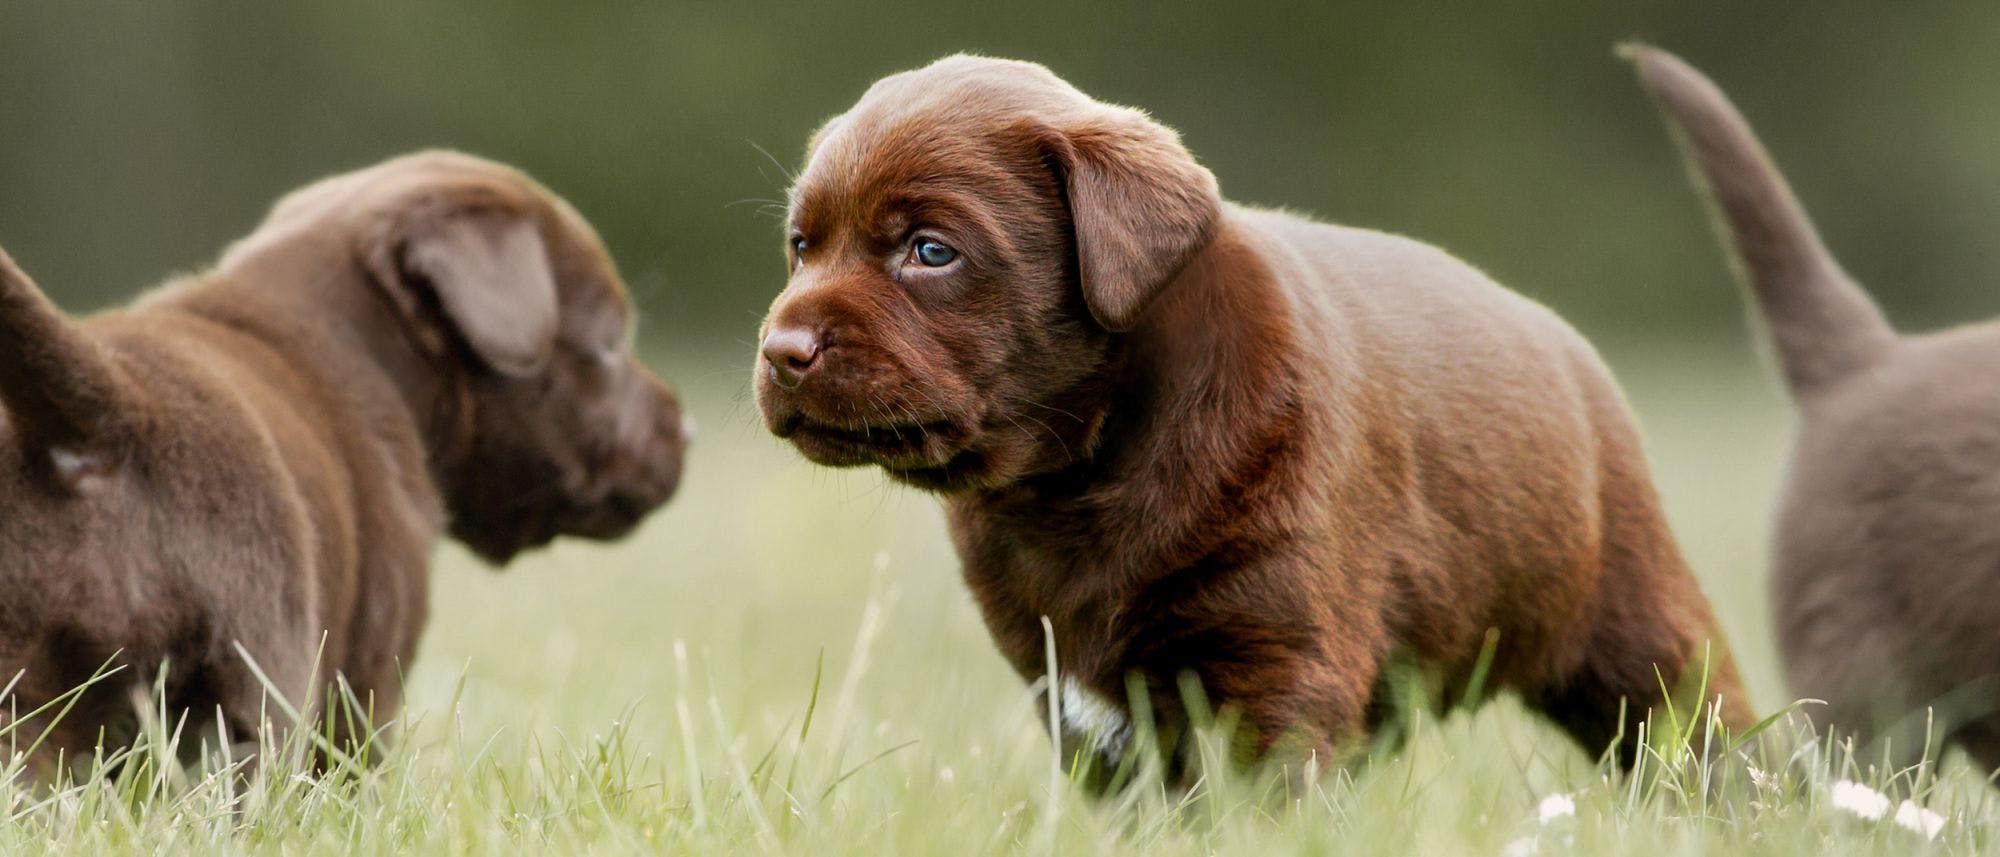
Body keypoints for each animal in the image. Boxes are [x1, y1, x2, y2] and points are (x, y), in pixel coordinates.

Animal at [752, 55, 1752, 784]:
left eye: (931, 251)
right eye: (801, 246)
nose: (781, 348)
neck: (1085, 469)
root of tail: (1566, 342)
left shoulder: (1278, 660)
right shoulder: (1075, 693)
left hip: (1639, 624)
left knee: (1703, 731)